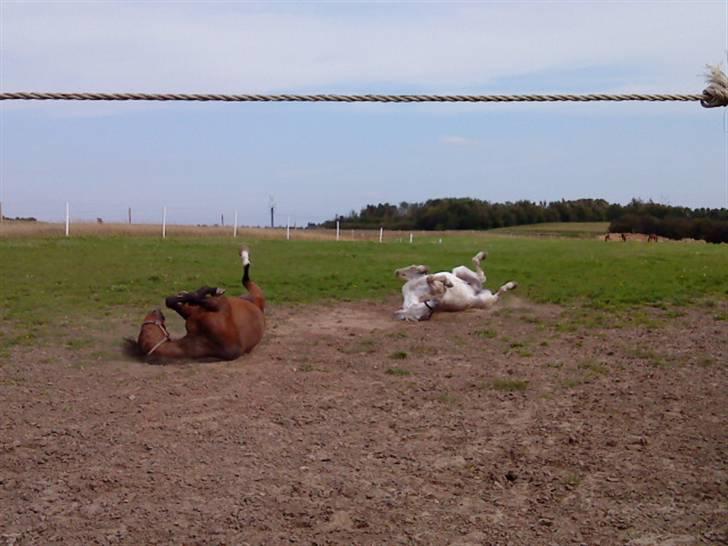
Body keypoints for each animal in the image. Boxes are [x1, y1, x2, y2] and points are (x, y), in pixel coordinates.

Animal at [126, 248, 266, 362]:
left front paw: (183, 296)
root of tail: (258, 306)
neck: (202, 341)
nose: (155, 311)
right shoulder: (220, 305)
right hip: (254, 291)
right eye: (145, 327)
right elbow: (190, 298)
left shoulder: (199, 311)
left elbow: (175, 301)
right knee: (244, 278)